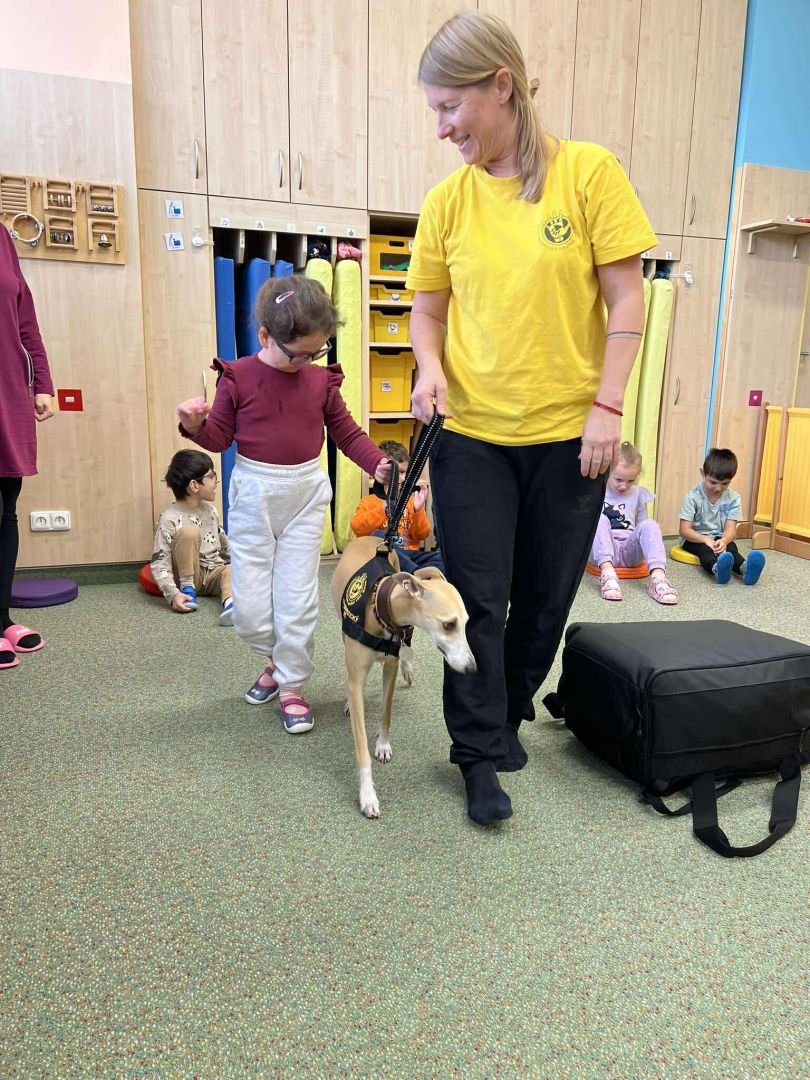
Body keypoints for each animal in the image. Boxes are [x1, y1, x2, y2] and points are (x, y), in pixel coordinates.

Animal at [331, 535, 475, 818]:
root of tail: (370, 537)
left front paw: (382, 745)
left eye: (465, 622)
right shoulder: (357, 678)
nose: (472, 669)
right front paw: (368, 795)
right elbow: (361, 746)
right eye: (449, 624)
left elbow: (386, 712)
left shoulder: (391, 665)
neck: (379, 608)